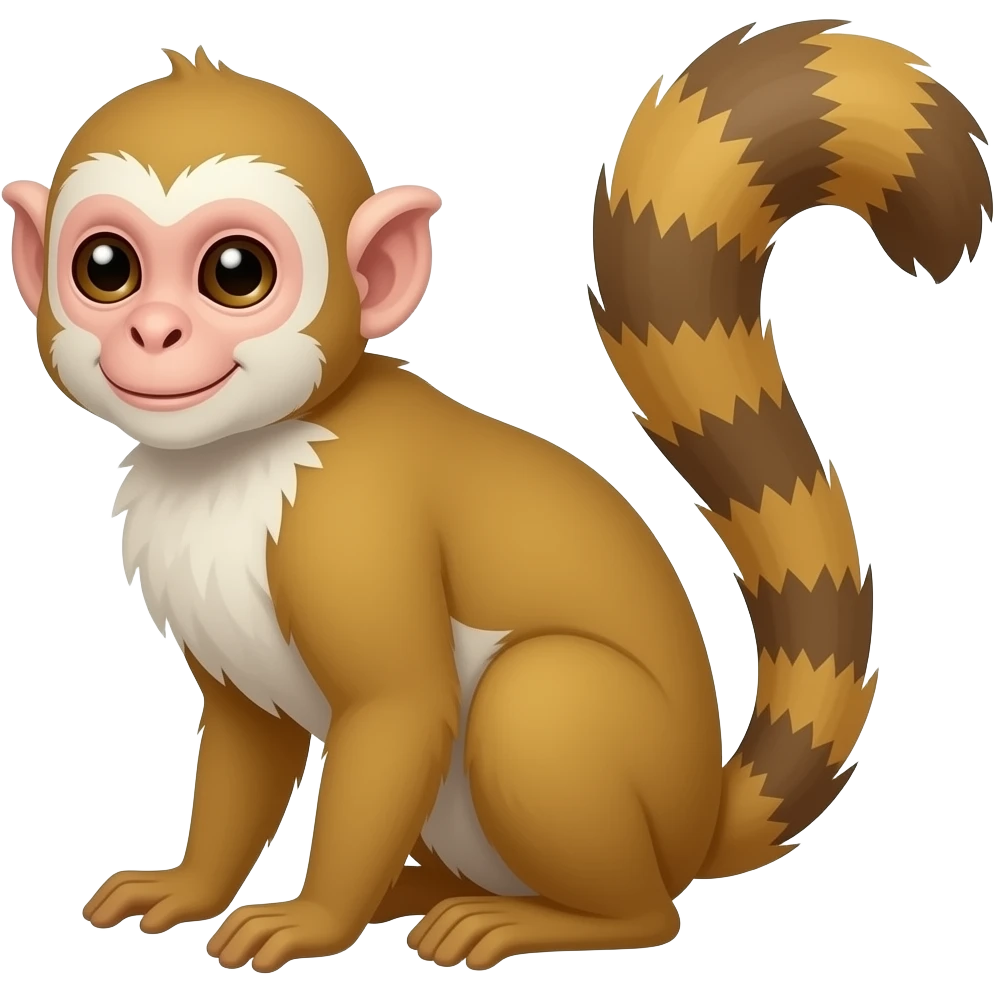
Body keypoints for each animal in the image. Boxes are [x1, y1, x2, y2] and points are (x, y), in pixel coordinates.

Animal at [4, 22, 989, 974]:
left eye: (235, 272)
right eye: (106, 267)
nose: (154, 332)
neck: (242, 456)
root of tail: (698, 815)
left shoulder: (352, 518)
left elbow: (398, 705)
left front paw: (317, 919)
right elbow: (250, 730)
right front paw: (195, 883)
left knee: (547, 709)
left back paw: (567, 918)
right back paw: (422, 890)